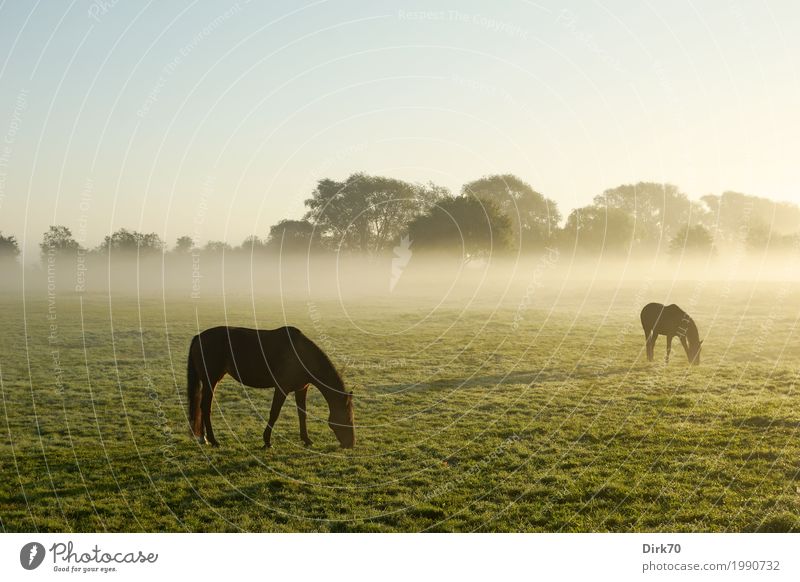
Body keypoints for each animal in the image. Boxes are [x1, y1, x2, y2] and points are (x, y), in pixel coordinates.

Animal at [186, 328, 354, 452]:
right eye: (348, 417)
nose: (351, 444)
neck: (301, 354)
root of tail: (198, 337)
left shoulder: (301, 389)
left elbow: (302, 414)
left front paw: (306, 439)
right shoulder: (282, 388)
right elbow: (274, 413)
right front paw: (267, 441)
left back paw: (204, 438)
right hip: (210, 380)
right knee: (205, 407)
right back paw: (213, 440)